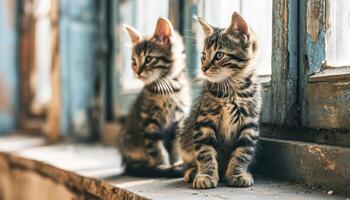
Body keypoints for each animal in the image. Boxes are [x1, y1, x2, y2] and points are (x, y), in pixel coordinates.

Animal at [119, 17, 193, 177]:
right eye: (134, 61)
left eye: (148, 59)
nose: (137, 72)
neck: (168, 90)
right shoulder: (149, 122)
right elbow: (156, 149)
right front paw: (162, 166)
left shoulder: (179, 120)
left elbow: (176, 146)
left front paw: (177, 163)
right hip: (130, 141)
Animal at [179, 12, 262, 189]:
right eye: (203, 56)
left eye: (219, 55)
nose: (203, 68)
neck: (232, 88)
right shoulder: (204, 120)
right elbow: (205, 151)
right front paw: (206, 175)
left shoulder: (250, 123)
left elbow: (243, 151)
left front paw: (237, 173)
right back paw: (193, 171)